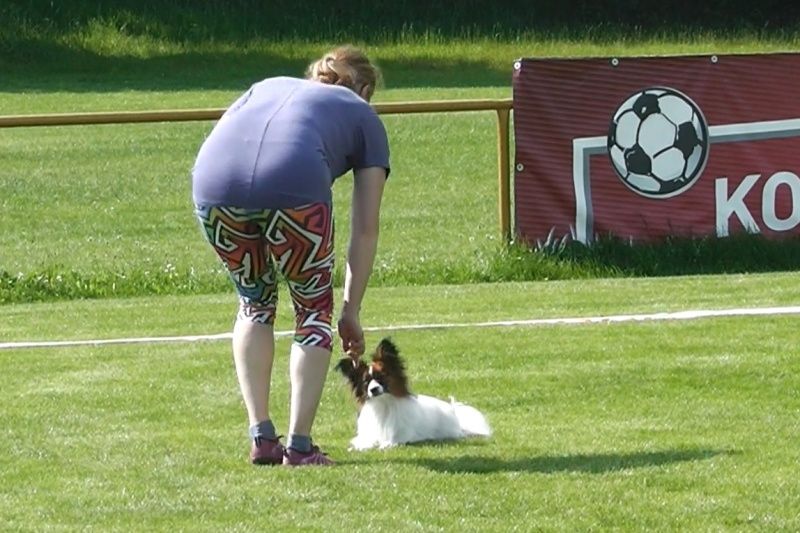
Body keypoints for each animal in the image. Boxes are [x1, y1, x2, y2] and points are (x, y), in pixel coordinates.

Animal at [334, 336, 490, 448]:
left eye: (381, 377)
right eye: (366, 382)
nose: (373, 389)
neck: (384, 404)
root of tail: (454, 411)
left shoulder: (402, 435)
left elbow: (390, 441)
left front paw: (384, 444)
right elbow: (365, 441)